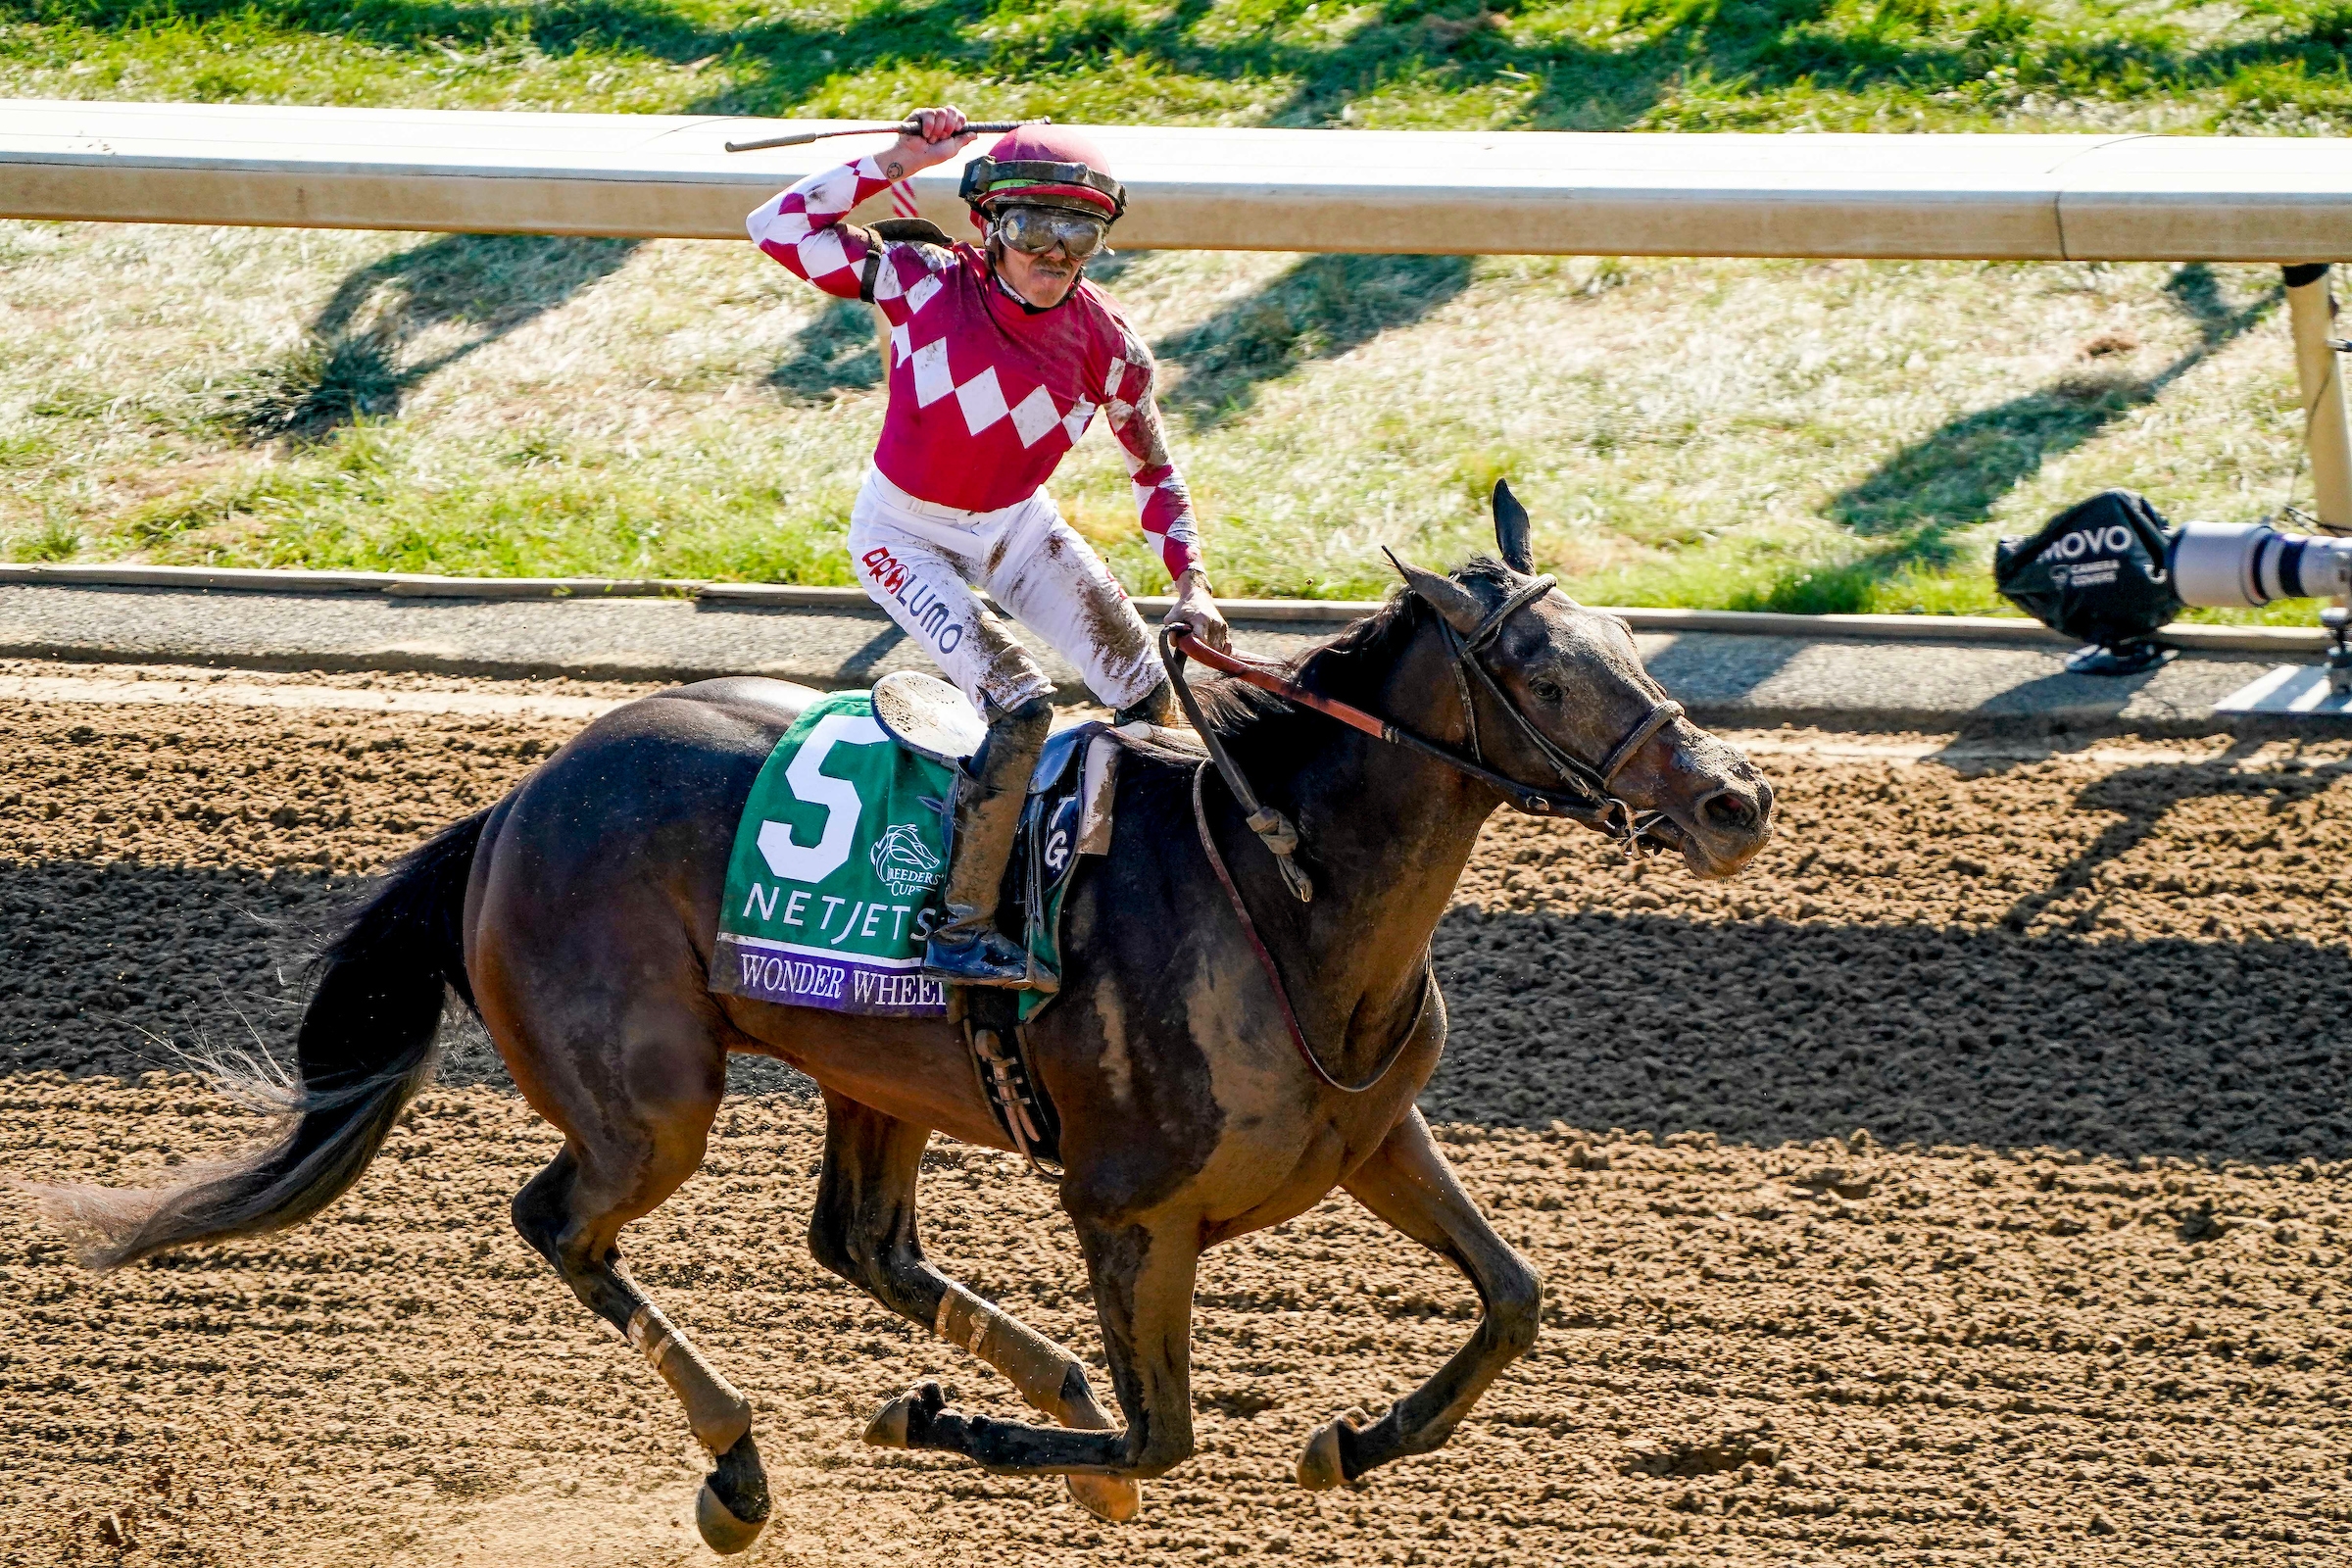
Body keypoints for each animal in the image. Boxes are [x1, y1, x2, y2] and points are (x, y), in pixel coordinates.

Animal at [41, 496, 1768, 1551]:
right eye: (1545, 670)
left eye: (1628, 639)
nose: (1734, 802)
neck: (1282, 889)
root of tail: (516, 805)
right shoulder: (1129, 1209)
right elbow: (1165, 1440)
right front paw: (942, 1423)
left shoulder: (1369, 1135)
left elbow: (1515, 1300)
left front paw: (1350, 1439)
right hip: (651, 1101)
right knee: (561, 1222)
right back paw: (744, 1463)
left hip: (868, 1075)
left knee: (857, 1242)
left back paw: (1038, 1379)